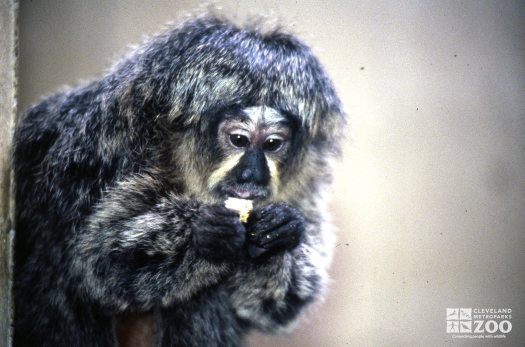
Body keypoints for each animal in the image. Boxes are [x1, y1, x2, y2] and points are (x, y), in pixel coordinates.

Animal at [12, 13, 344, 347]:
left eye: (273, 144)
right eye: (239, 140)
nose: (252, 174)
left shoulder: (303, 193)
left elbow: (276, 310)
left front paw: (277, 237)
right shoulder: (98, 161)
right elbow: (99, 266)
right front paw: (203, 234)